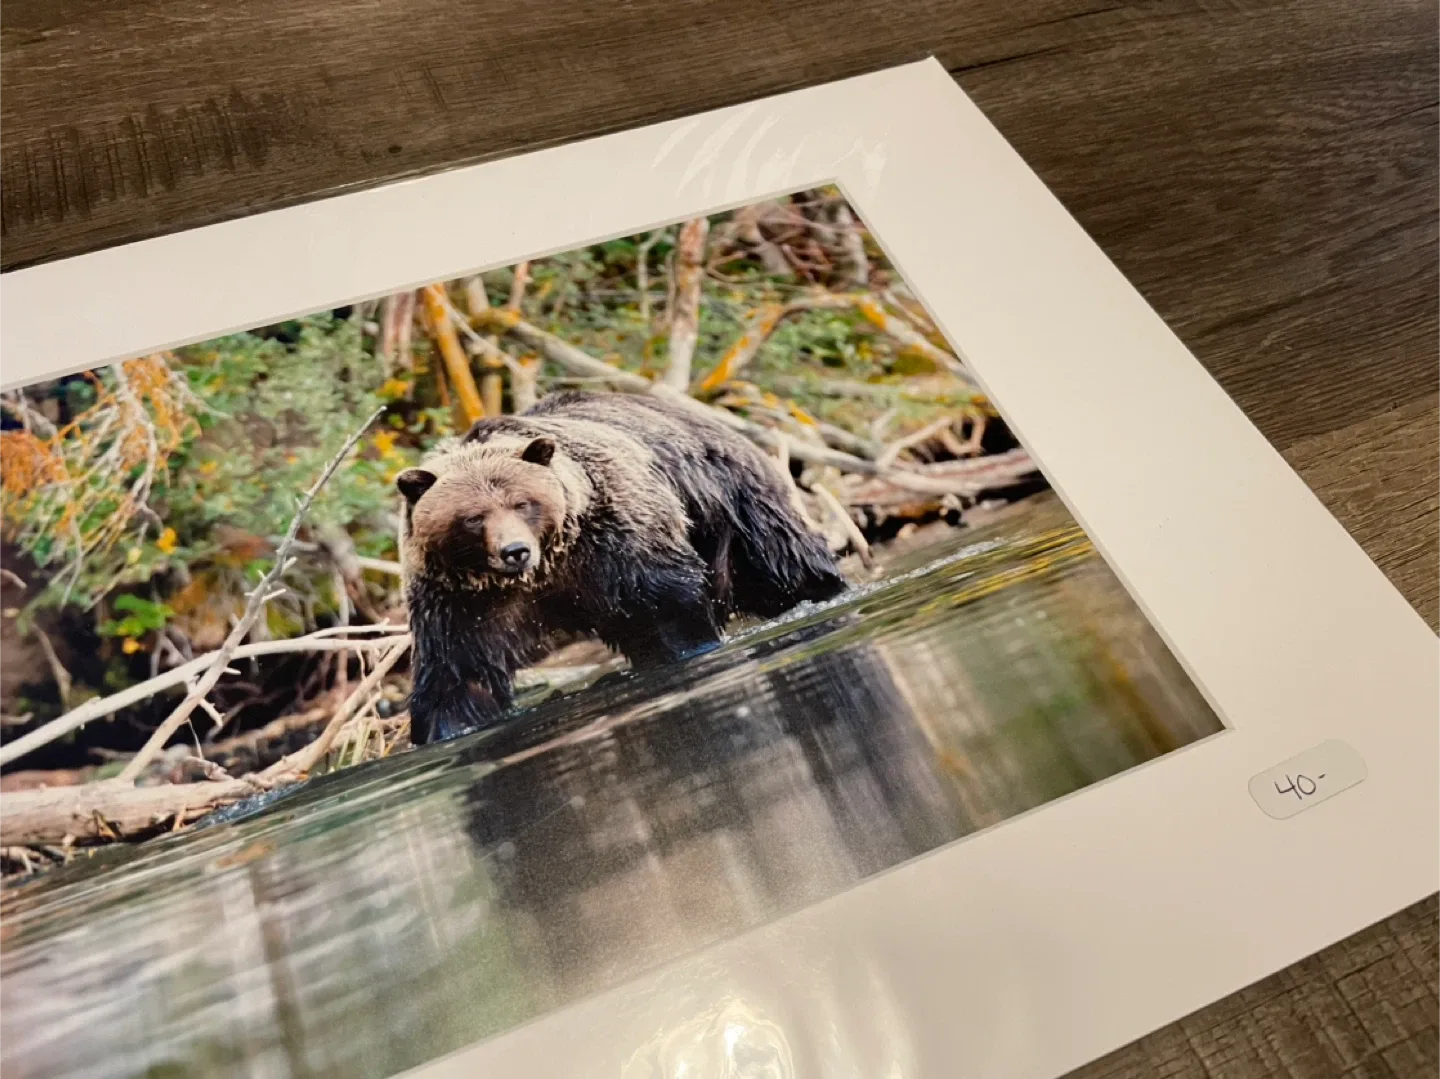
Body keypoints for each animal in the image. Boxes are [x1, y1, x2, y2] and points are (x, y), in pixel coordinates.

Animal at [396, 390, 848, 745]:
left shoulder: (616, 544)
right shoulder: (461, 600)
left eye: (522, 502)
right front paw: (444, 727)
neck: (545, 571)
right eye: (473, 517)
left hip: (733, 508)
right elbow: (459, 675)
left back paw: (825, 590)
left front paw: (690, 646)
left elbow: (670, 606)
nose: (514, 551)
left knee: (786, 563)